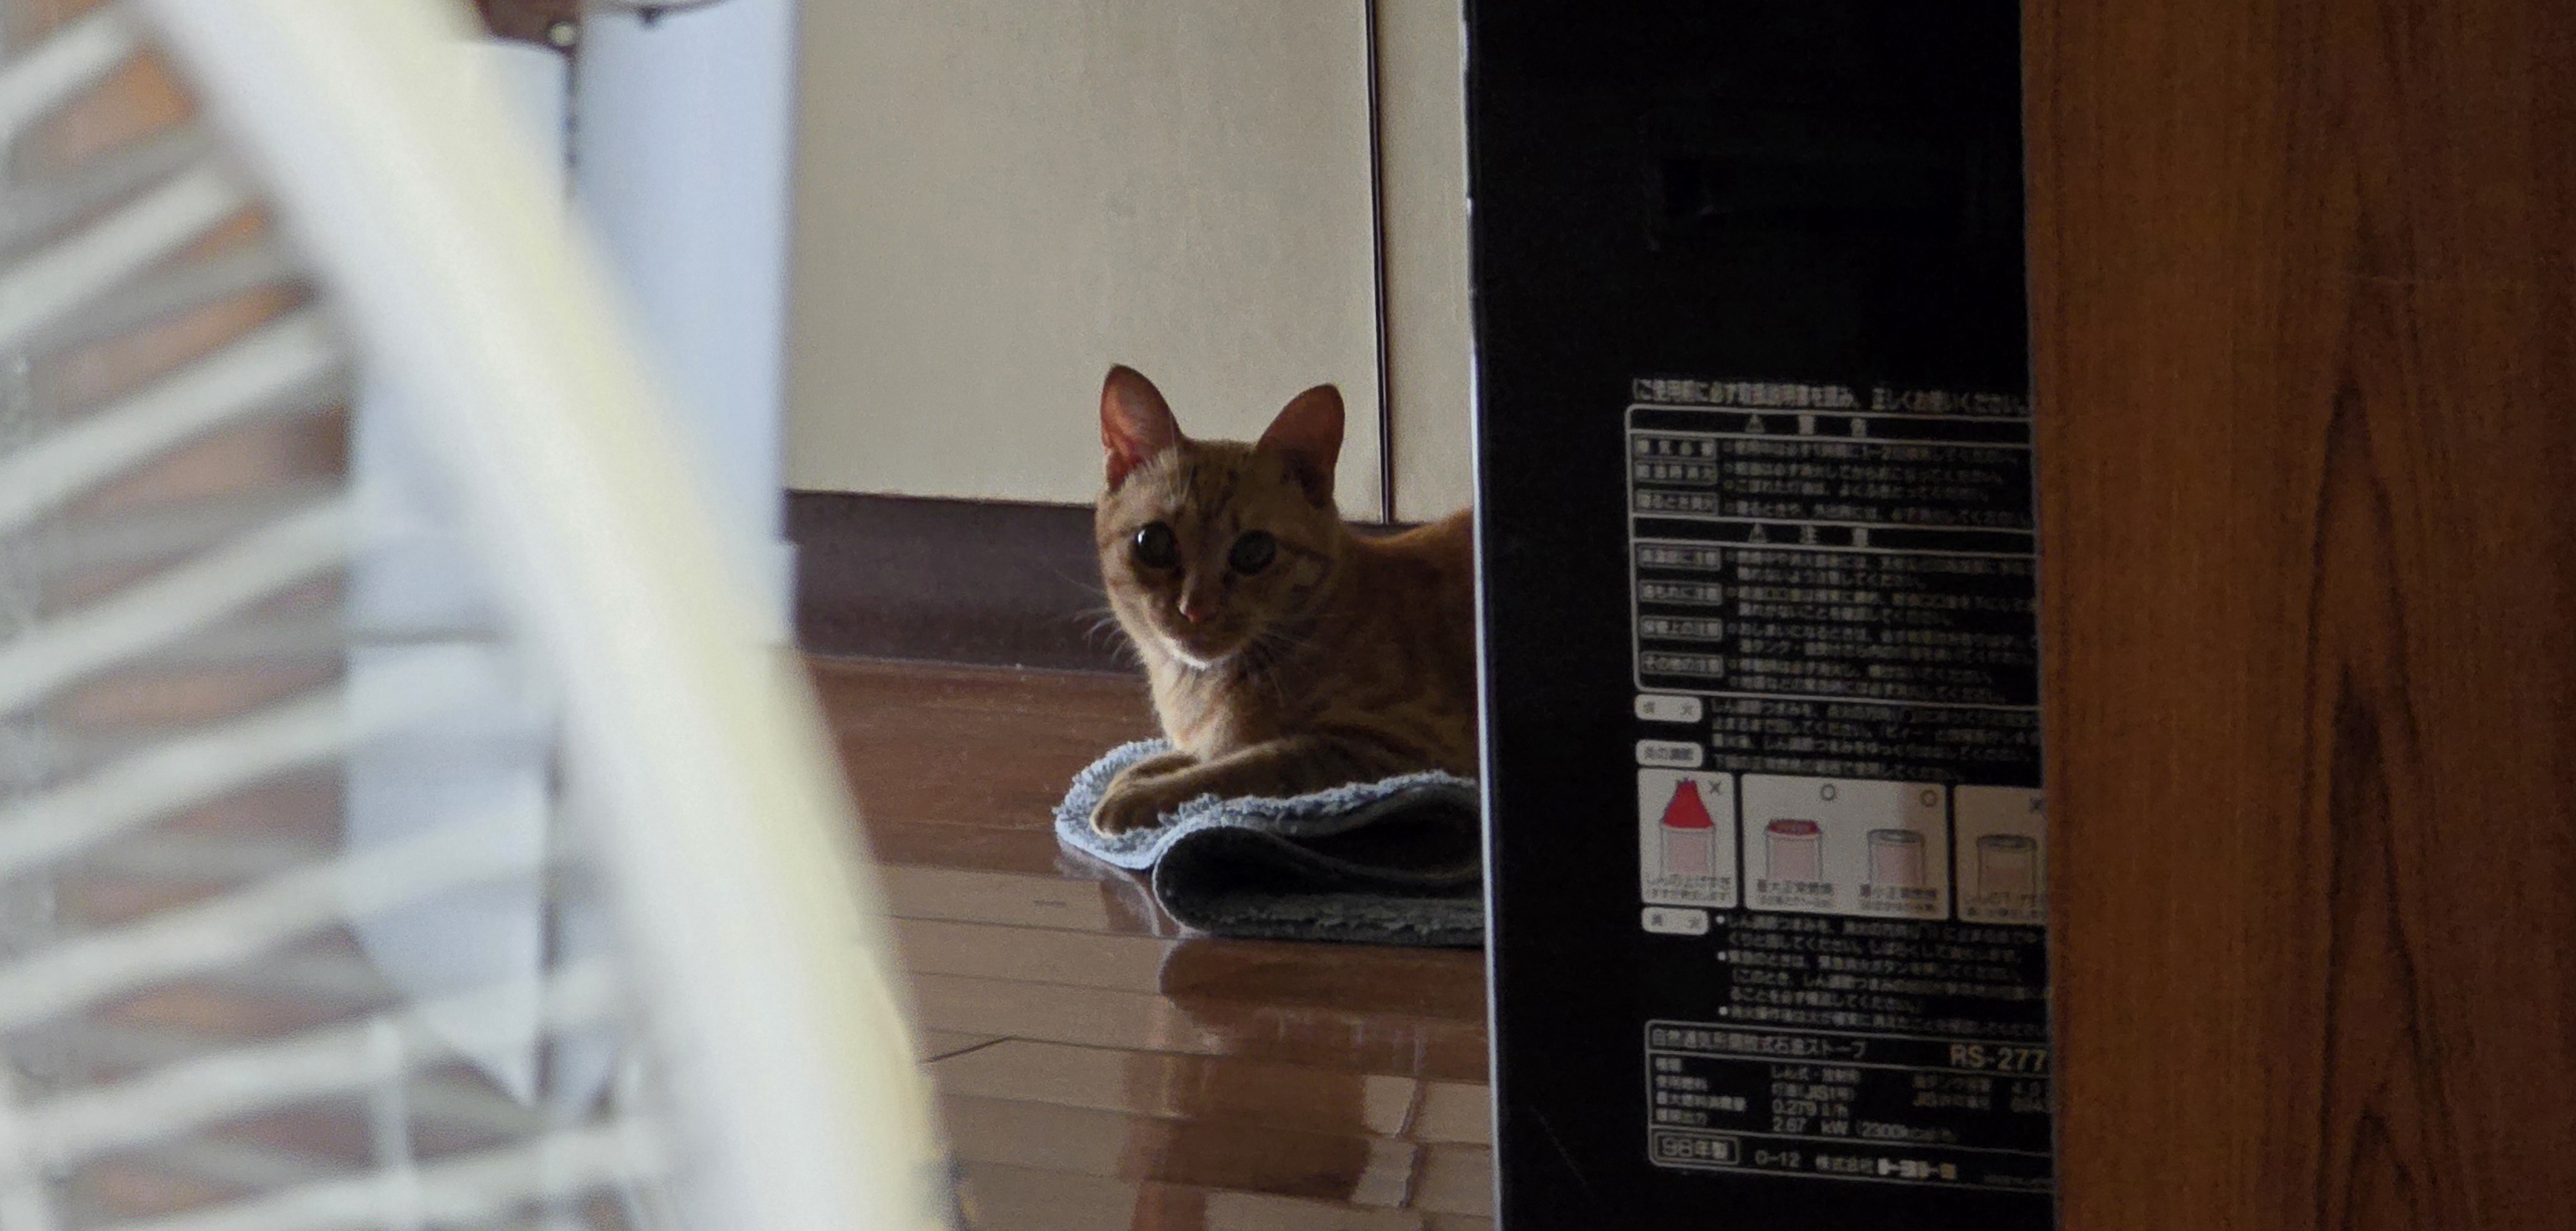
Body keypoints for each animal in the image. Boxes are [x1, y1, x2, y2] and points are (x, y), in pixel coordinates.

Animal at [1087, 365, 1478, 835]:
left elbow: (1247, 764)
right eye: (1154, 542)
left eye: (1255, 551)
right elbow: (1182, 755)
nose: (1195, 609)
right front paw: (1138, 772)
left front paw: (1144, 794)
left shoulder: (1401, 746)